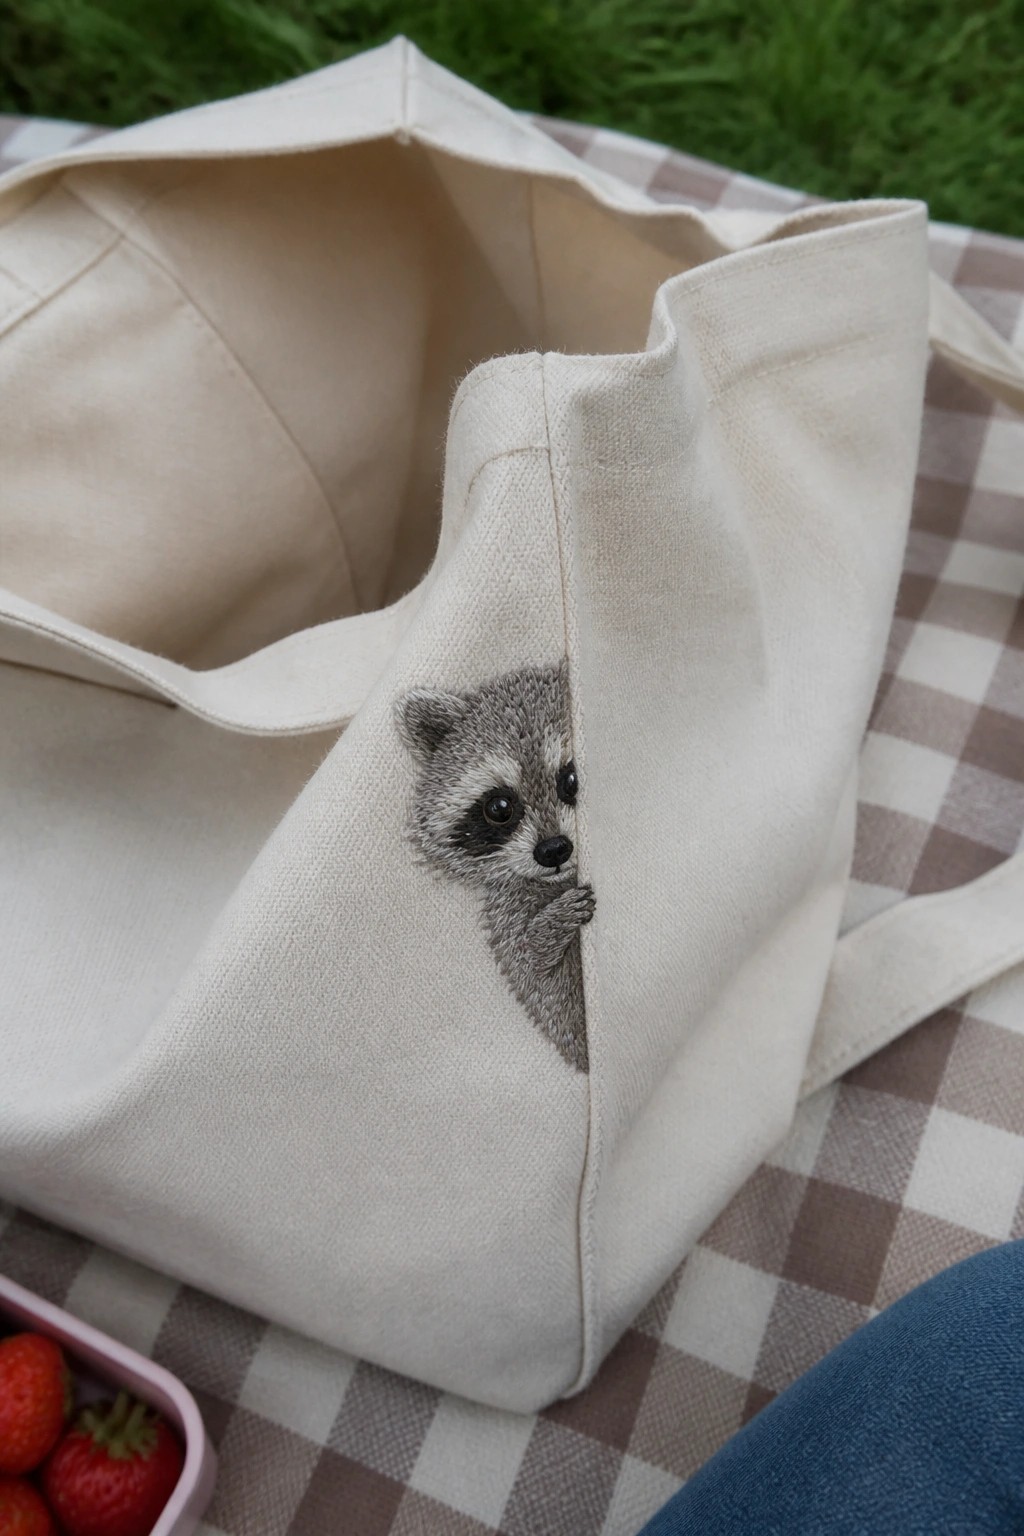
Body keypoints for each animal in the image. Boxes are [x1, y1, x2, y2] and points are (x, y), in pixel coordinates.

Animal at [397, 662, 595, 1072]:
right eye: (500, 807)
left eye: (571, 780)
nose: (553, 850)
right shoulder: (509, 913)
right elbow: (534, 970)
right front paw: (549, 927)